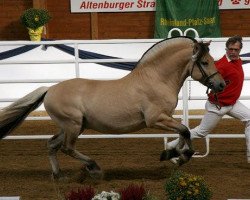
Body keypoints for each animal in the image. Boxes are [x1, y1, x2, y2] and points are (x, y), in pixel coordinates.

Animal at [0, 36, 226, 179]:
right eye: (205, 62)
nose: (221, 84)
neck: (156, 79)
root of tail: (50, 89)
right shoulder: (155, 119)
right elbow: (185, 131)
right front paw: (180, 157)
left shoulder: (166, 117)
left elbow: (182, 132)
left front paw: (171, 154)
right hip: (72, 125)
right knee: (67, 147)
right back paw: (94, 168)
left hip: (73, 126)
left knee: (52, 145)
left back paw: (59, 175)